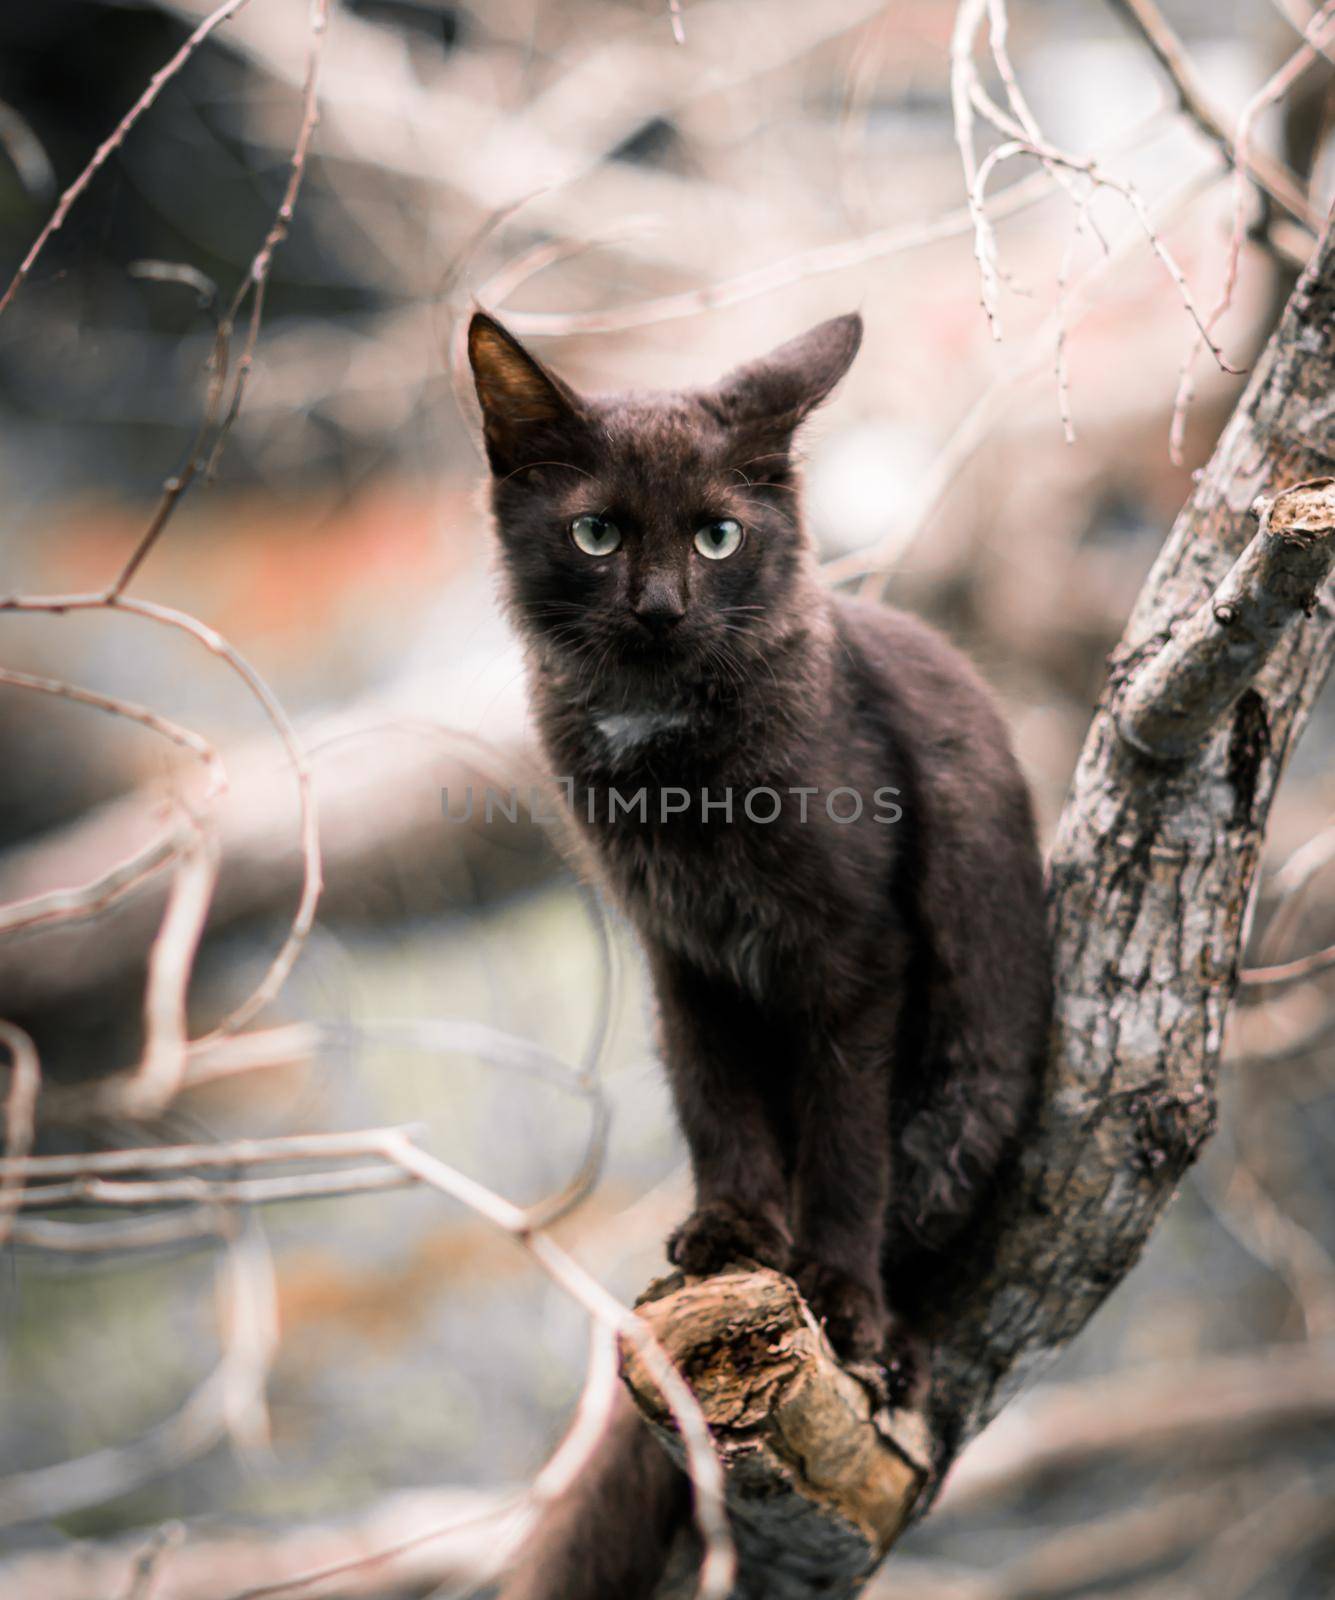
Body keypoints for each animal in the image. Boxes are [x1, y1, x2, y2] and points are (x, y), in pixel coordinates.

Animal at [467, 312, 1050, 1600]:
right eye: (596, 532)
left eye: (717, 535)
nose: (659, 607)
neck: (670, 755)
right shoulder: (684, 956)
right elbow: (716, 1099)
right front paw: (735, 1231)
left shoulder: (857, 951)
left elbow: (845, 1143)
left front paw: (836, 1292)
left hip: (963, 1096)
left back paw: (891, 1344)